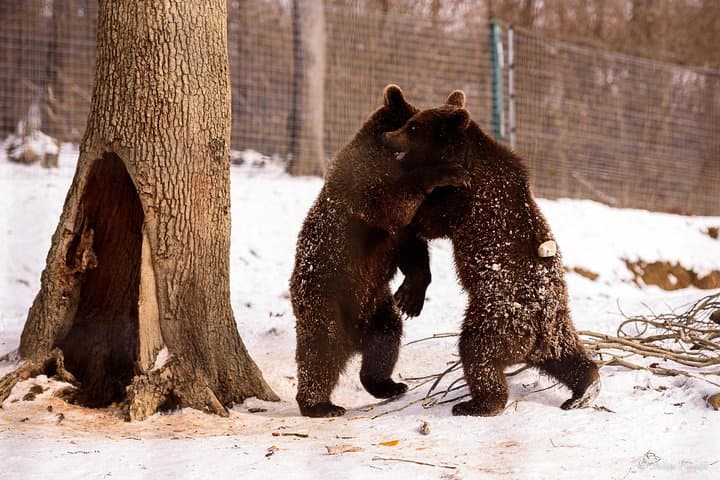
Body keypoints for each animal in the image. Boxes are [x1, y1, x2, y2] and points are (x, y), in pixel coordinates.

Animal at [289, 85, 471, 418]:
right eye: (412, 125)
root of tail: (353, 340)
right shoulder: (363, 185)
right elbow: (391, 200)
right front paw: (446, 171)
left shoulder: (399, 233)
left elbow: (412, 248)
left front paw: (412, 296)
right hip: (326, 299)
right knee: (320, 351)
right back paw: (320, 404)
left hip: (376, 306)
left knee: (385, 341)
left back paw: (388, 384)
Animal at [384, 90, 600, 416]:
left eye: (413, 127)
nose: (388, 137)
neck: (465, 156)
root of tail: (540, 326)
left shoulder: (465, 199)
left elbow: (429, 219)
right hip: (558, 327)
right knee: (567, 356)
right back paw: (584, 390)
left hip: (496, 317)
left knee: (477, 351)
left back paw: (476, 403)